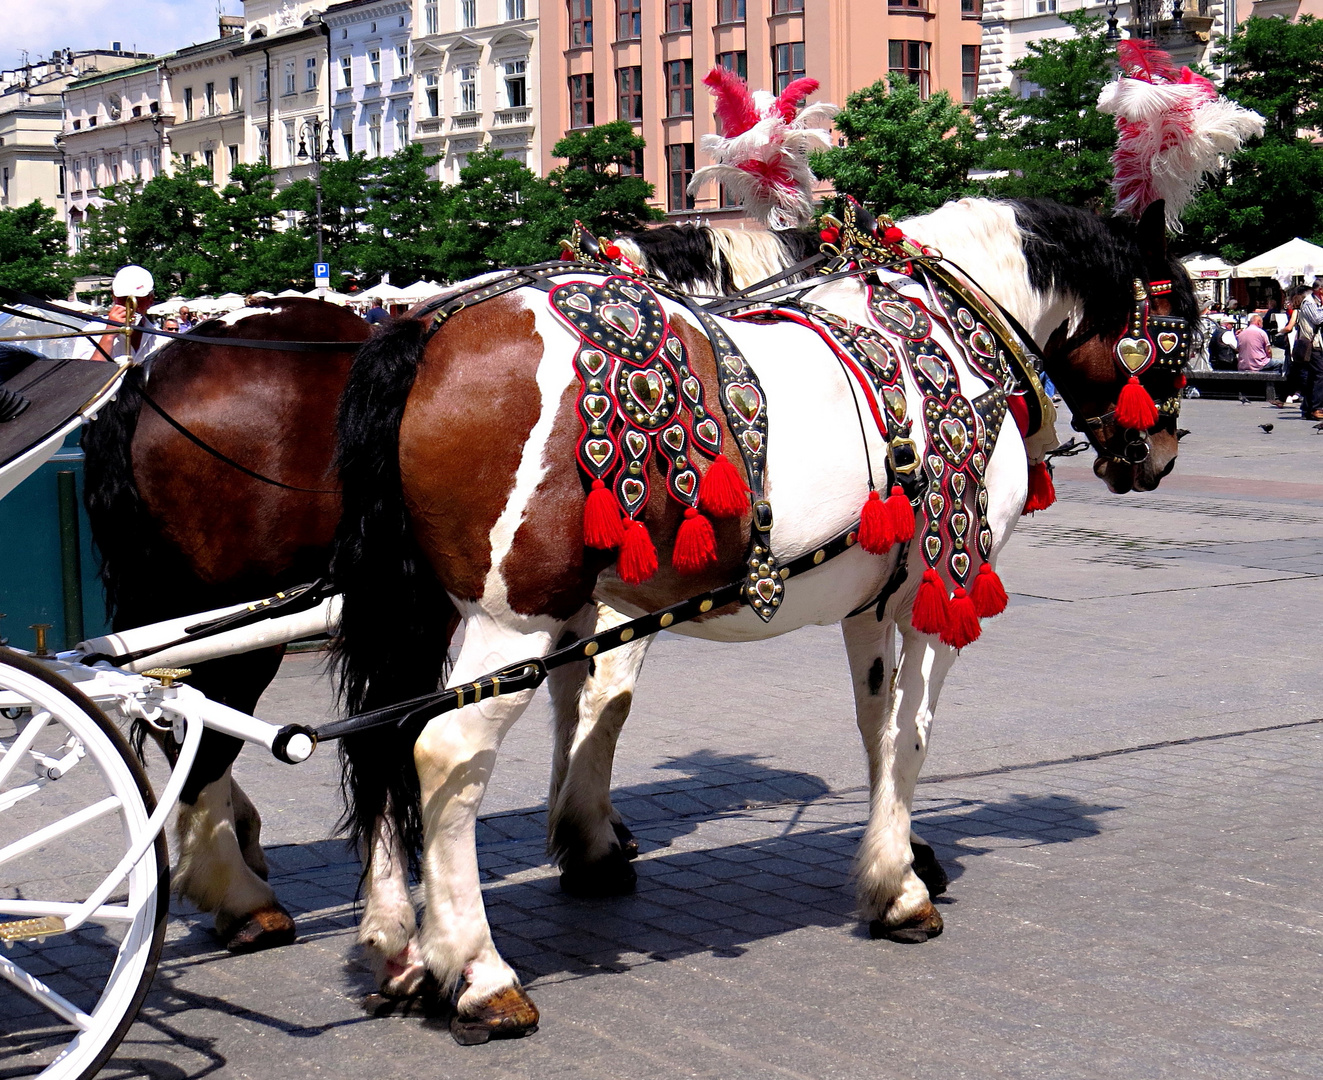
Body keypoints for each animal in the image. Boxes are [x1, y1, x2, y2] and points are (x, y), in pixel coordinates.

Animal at [325, 198, 1195, 1032]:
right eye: (1179, 325)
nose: (1155, 456)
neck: (950, 327)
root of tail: (422, 332)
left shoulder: (869, 603)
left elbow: (875, 729)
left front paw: (894, 861)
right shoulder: (939, 590)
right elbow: (911, 736)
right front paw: (904, 892)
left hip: (422, 611)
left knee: (380, 739)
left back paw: (399, 951)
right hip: (516, 620)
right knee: (444, 752)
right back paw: (479, 975)